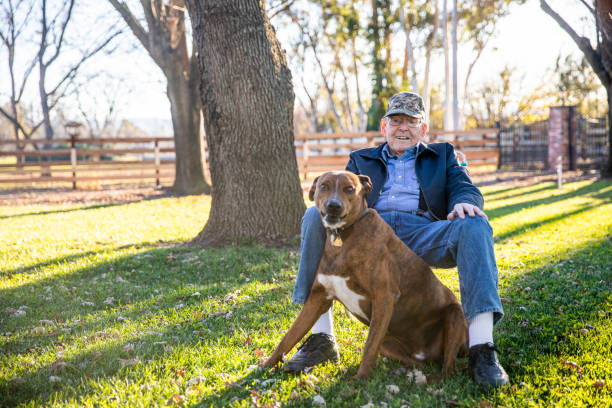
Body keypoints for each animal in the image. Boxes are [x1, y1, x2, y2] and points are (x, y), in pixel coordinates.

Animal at [262, 171, 468, 378]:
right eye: (323, 186)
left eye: (349, 188)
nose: (334, 205)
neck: (342, 237)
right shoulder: (317, 299)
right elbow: (288, 337)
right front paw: (263, 367)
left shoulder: (384, 297)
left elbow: (369, 347)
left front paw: (359, 379)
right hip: (388, 343)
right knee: (418, 364)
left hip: (454, 314)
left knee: (448, 368)